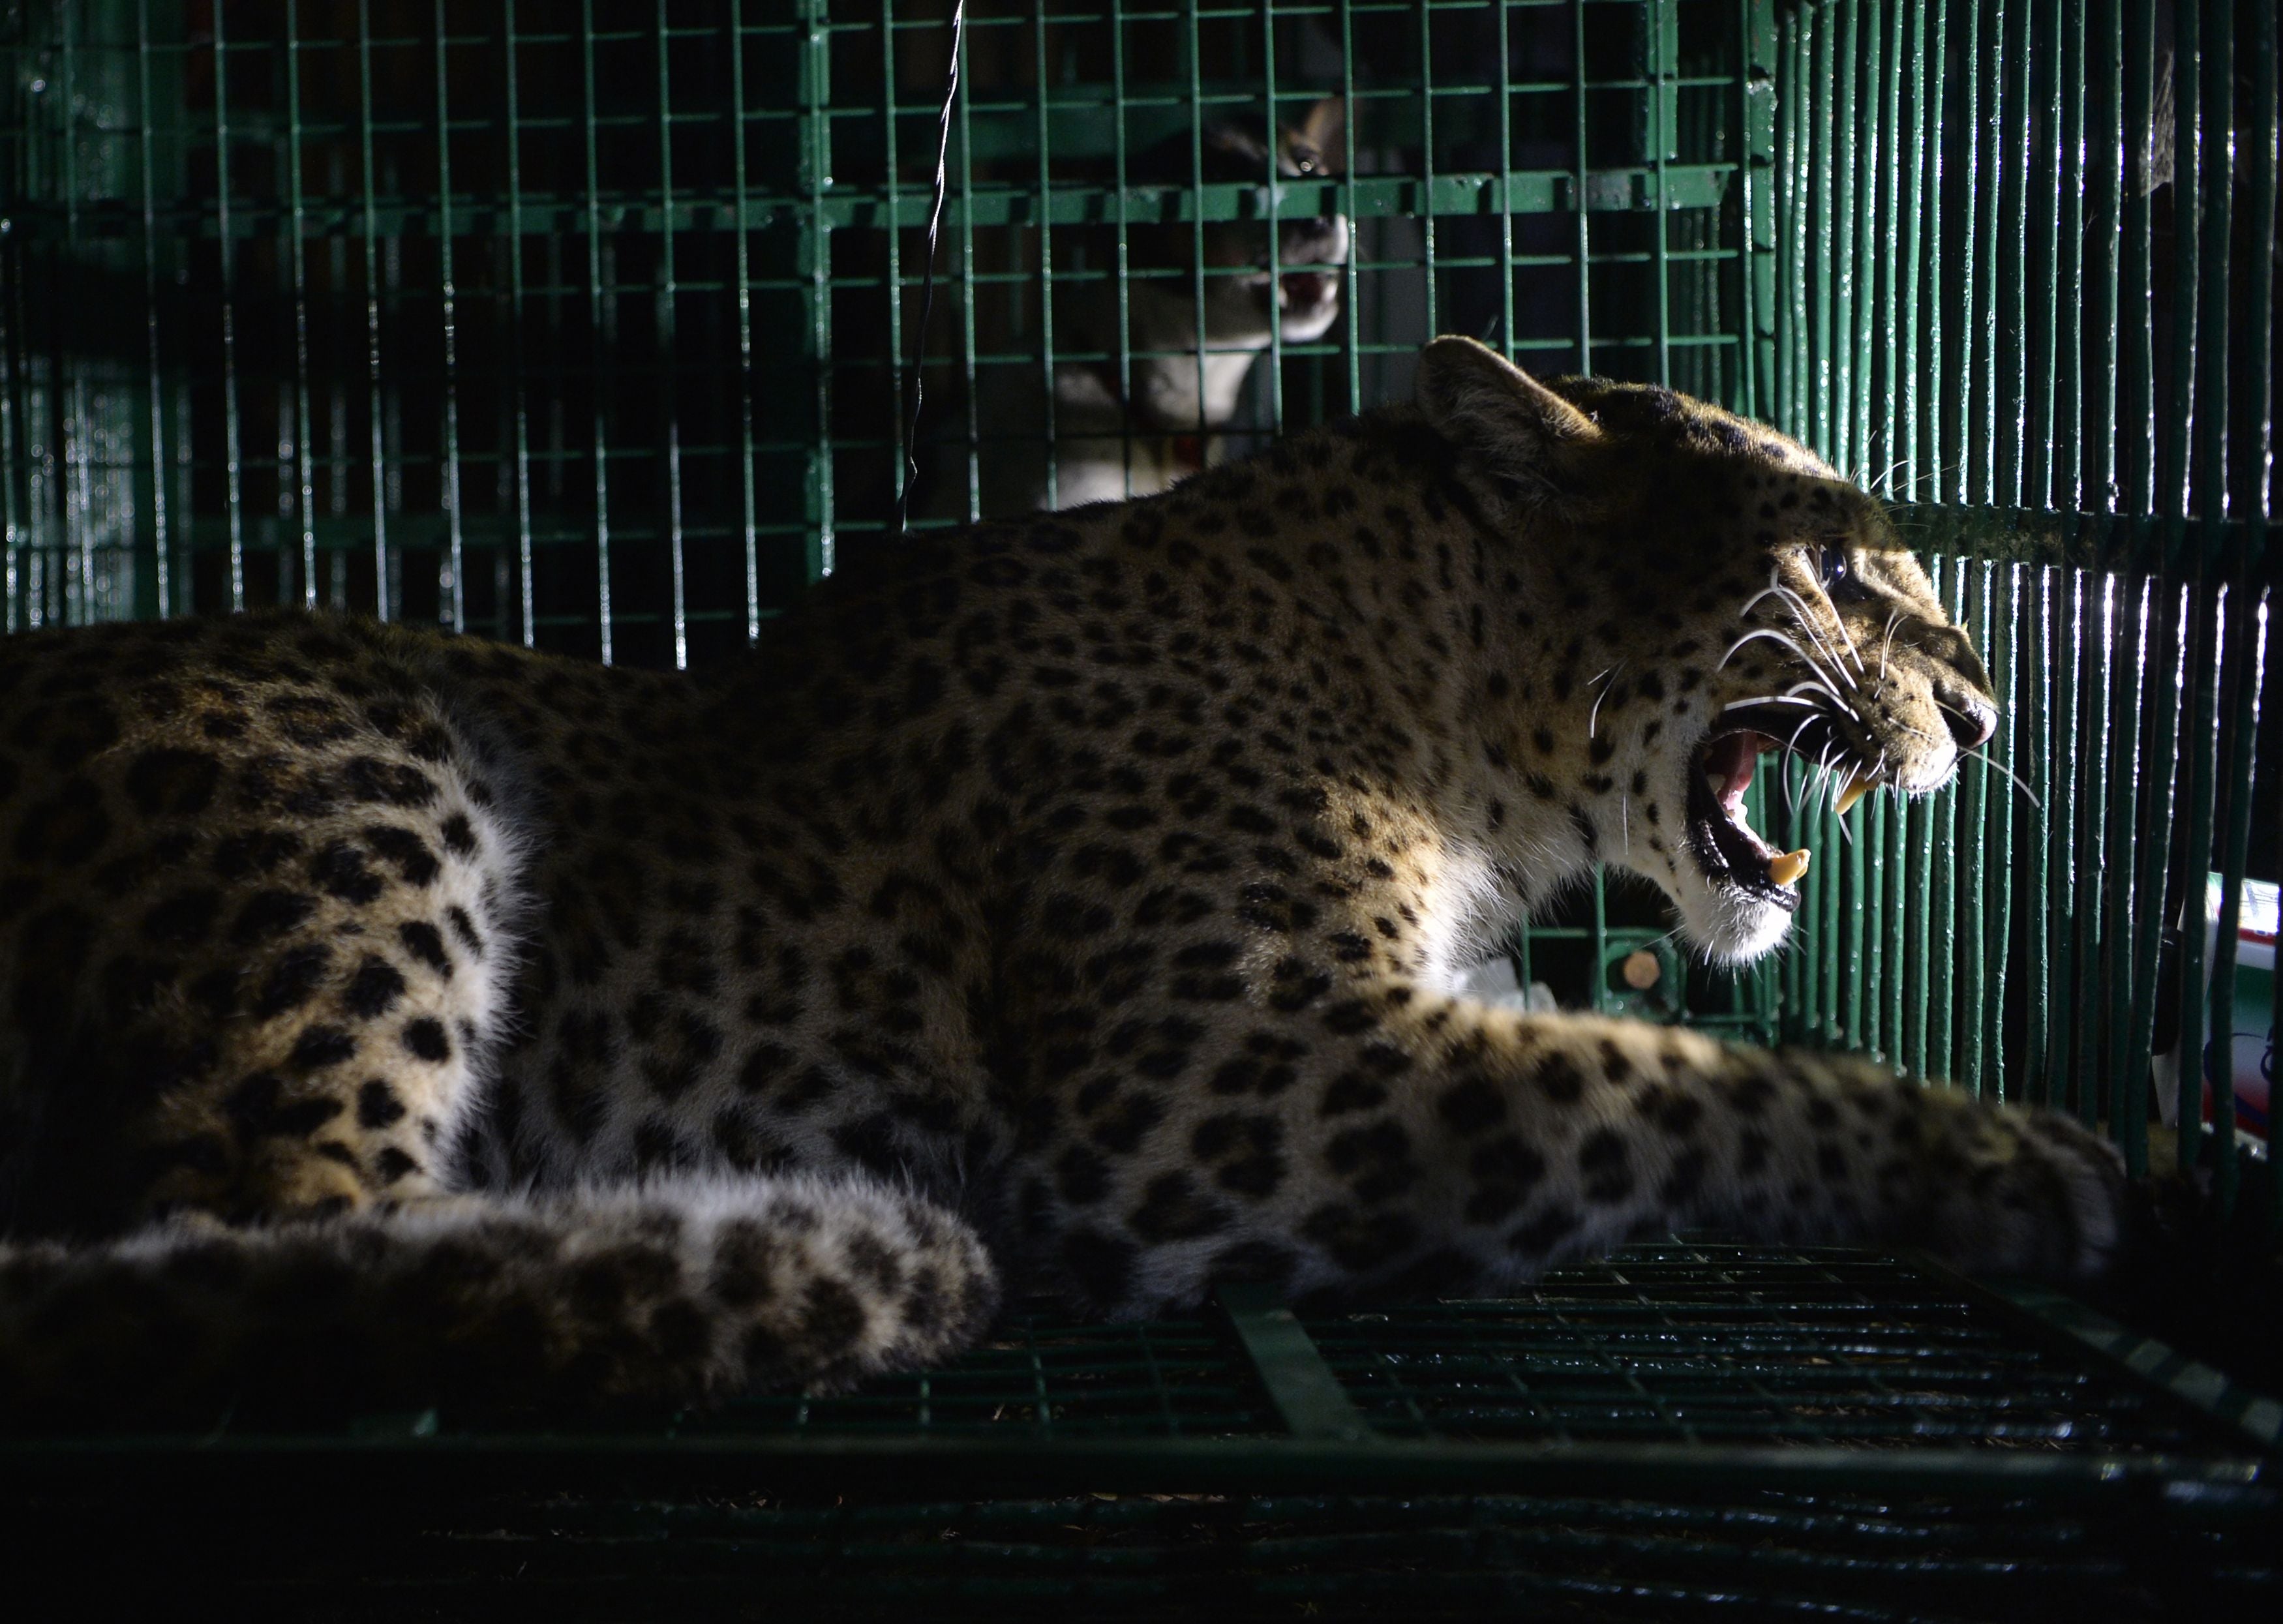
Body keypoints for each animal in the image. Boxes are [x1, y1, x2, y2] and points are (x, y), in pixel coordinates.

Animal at [0, 340, 2119, 1425]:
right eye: (1832, 566)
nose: (1986, 702)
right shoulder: (1214, 1086)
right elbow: (1669, 1078)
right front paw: (2023, 1164)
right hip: (355, 777)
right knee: (263, 1253)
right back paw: (808, 1242)